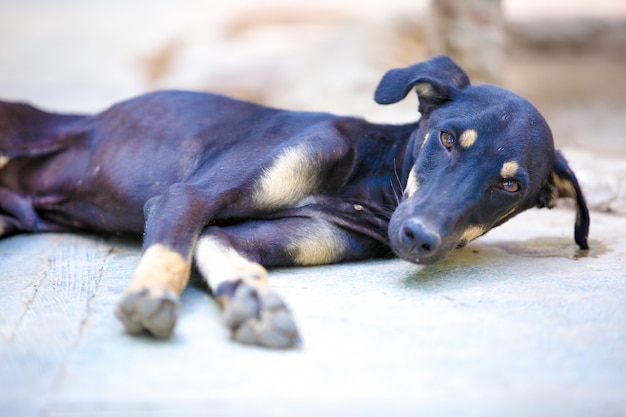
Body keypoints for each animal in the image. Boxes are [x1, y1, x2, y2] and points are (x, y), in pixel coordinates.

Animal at [0, 56, 584, 348]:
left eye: (510, 186)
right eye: (446, 139)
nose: (418, 238)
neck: (365, 184)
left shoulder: (287, 233)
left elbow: (212, 243)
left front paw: (252, 298)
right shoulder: (186, 195)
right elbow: (171, 250)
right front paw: (151, 295)